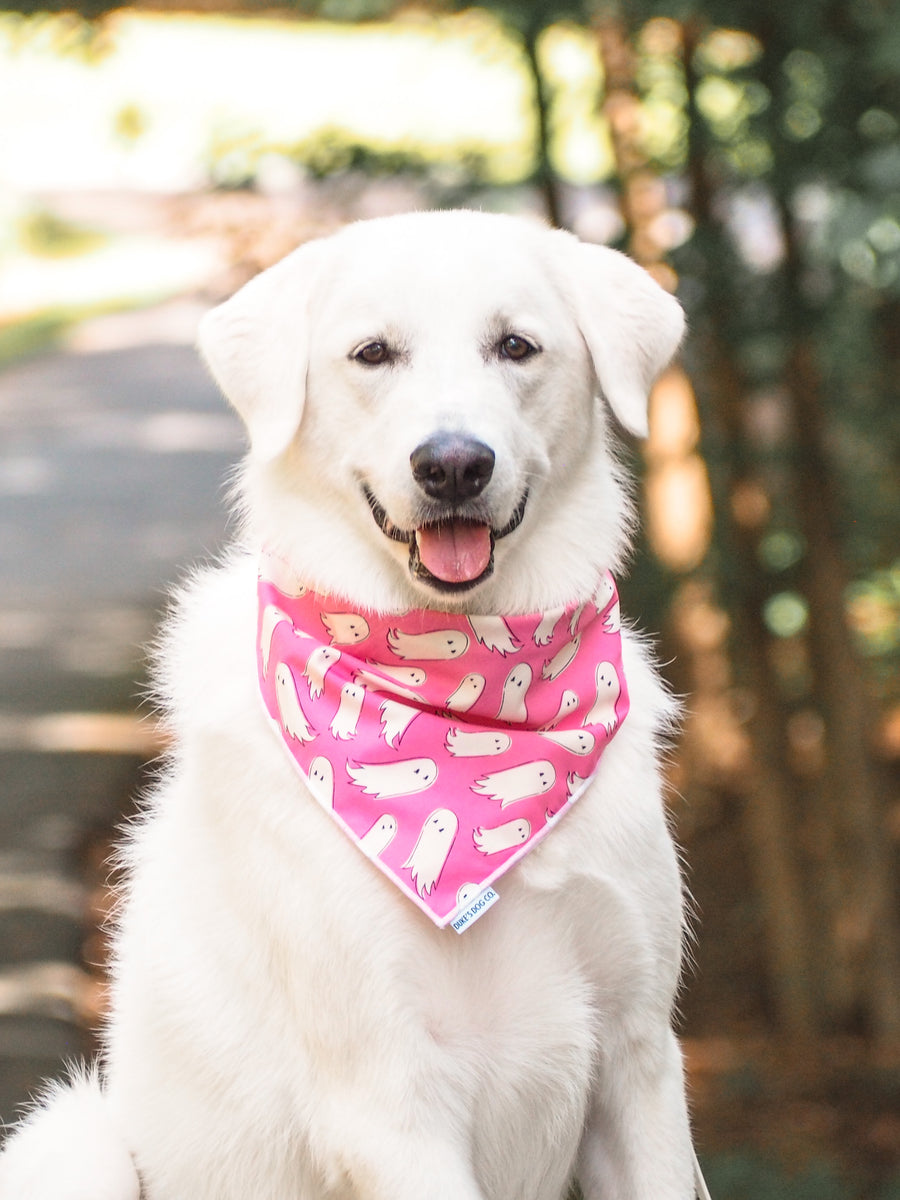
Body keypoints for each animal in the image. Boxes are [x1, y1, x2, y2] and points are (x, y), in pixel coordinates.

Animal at [0, 208, 705, 1200]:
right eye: (373, 354)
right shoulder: (389, 1098)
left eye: (516, 345)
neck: (461, 697)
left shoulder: (640, 1064)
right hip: (70, 1136)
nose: (454, 464)